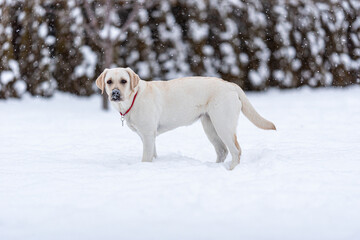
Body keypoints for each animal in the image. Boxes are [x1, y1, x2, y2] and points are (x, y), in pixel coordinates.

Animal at [95, 66, 276, 170]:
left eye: (123, 81)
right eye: (109, 81)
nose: (115, 93)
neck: (133, 98)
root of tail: (231, 85)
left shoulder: (147, 135)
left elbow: (146, 158)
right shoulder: (149, 136)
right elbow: (153, 155)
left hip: (223, 125)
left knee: (236, 150)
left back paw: (231, 170)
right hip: (210, 126)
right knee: (222, 150)